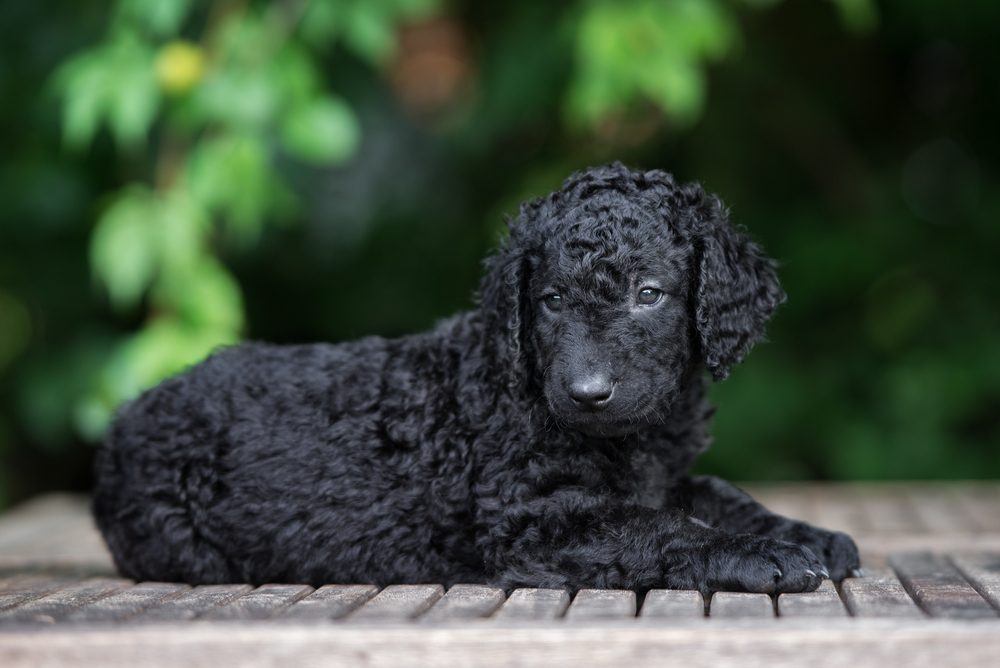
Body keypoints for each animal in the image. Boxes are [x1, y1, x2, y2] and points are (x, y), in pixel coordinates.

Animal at [92, 164, 860, 592]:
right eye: (551, 300)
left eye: (650, 293)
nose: (587, 393)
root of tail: (127, 417)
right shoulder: (530, 521)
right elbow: (661, 527)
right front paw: (762, 555)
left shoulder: (663, 475)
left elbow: (712, 494)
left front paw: (805, 534)